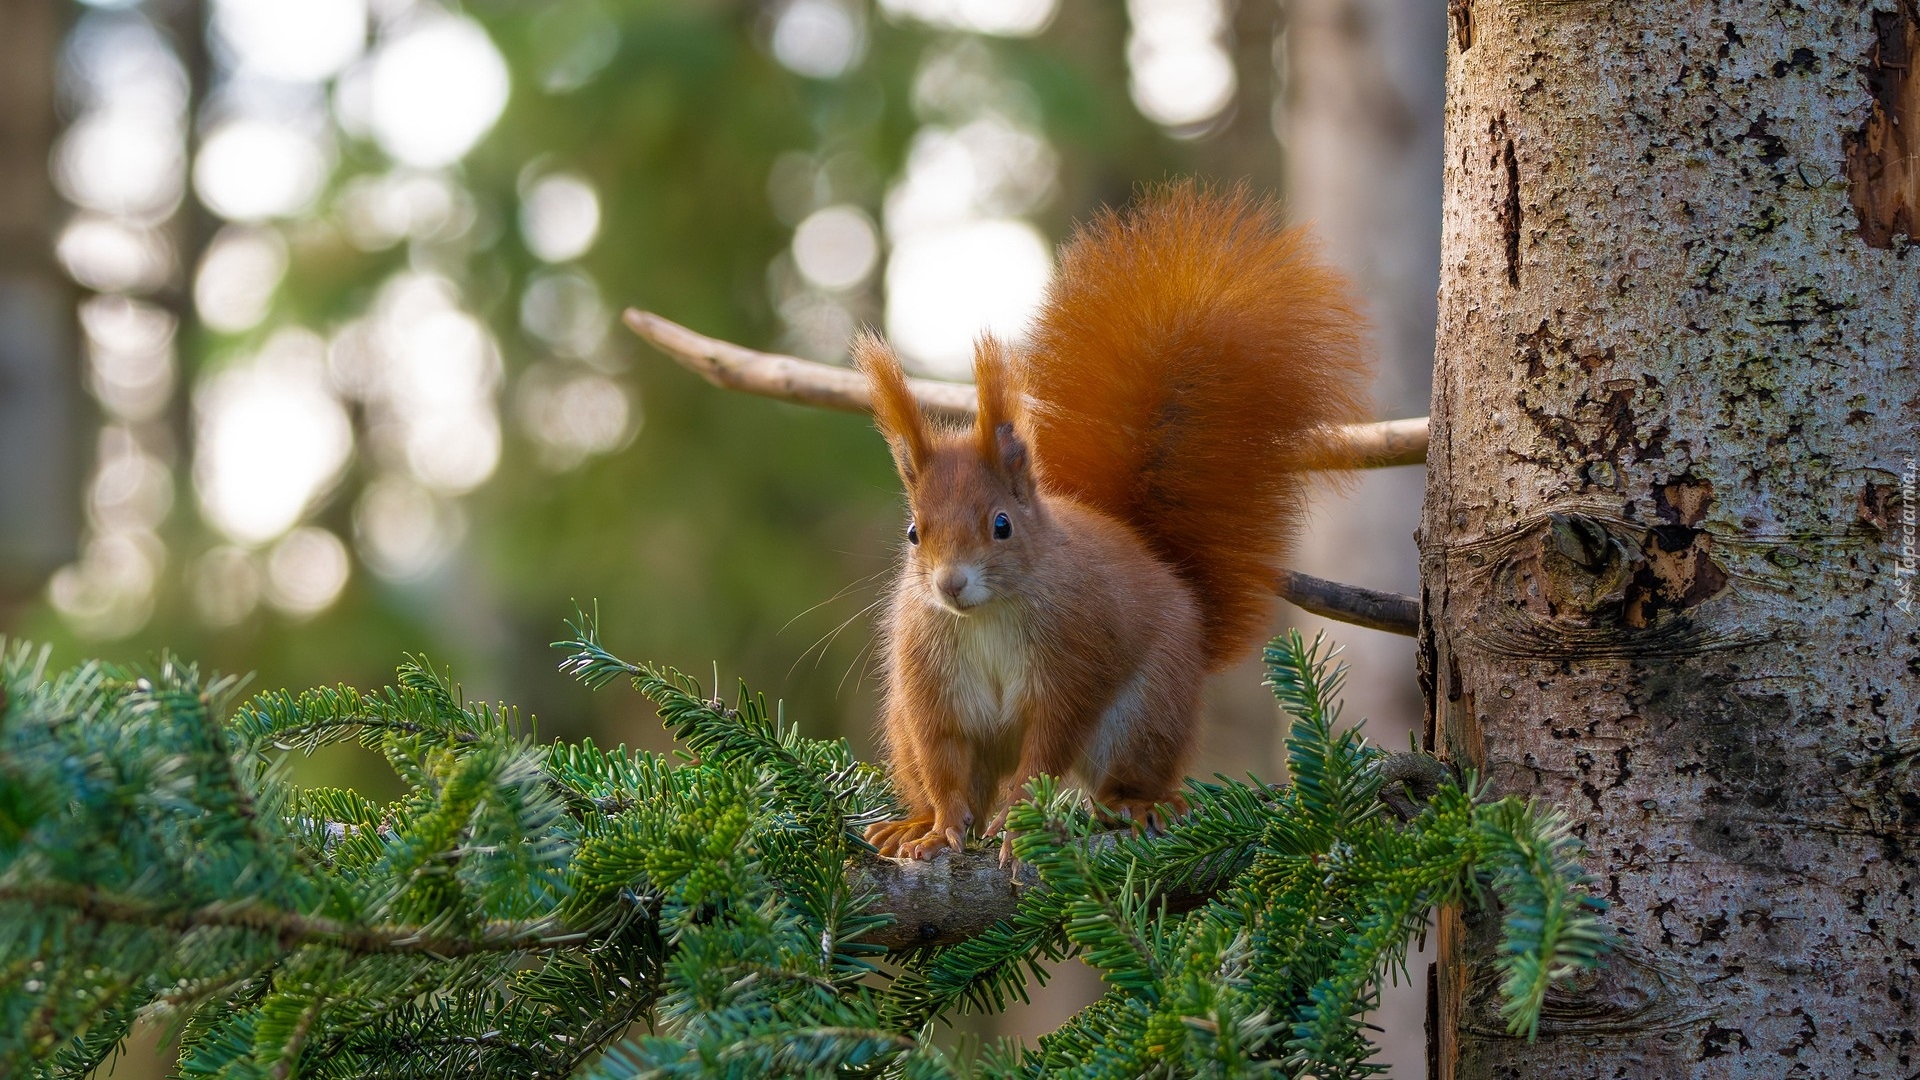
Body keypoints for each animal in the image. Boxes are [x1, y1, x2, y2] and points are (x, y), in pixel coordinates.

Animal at [852, 184, 1367, 857]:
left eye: (1001, 525)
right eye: (914, 533)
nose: (950, 584)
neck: (986, 616)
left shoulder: (1073, 659)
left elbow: (1045, 752)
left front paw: (1015, 826)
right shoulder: (929, 683)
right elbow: (945, 764)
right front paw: (939, 829)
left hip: (1143, 714)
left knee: (1120, 774)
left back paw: (1139, 804)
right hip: (901, 723)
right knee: (933, 770)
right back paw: (908, 822)